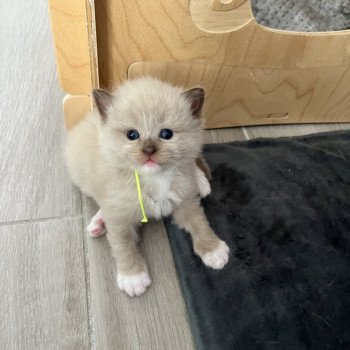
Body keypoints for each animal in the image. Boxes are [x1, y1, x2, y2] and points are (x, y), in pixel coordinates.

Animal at [65, 78, 230, 296]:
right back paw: (99, 223)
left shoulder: (186, 202)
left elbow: (200, 223)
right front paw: (132, 277)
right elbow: (123, 244)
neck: (154, 177)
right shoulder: (118, 216)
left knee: (192, 158)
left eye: (166, 134)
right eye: (132, 135)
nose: (149, 150)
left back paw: (201, 181)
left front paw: (213, 249)